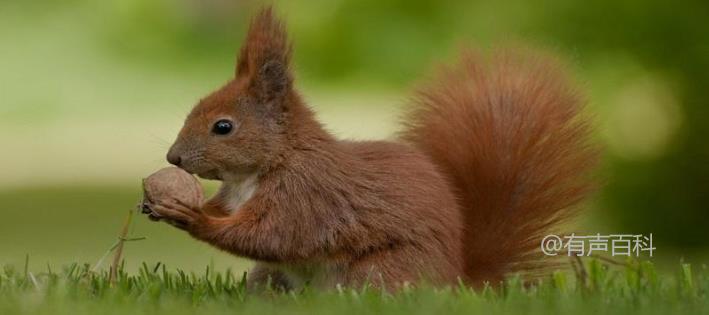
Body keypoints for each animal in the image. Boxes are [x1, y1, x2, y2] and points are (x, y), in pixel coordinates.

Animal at [148, 6, 596, 292]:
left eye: (223, 127)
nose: (173, 158)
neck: (263, 168)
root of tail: (457, 282)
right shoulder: (236, 195)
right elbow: (230, 215)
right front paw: (163, 205)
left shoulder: (307, 196)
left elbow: (271, 236)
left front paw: (191, 217)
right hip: (270, 277)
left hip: (377, 272)